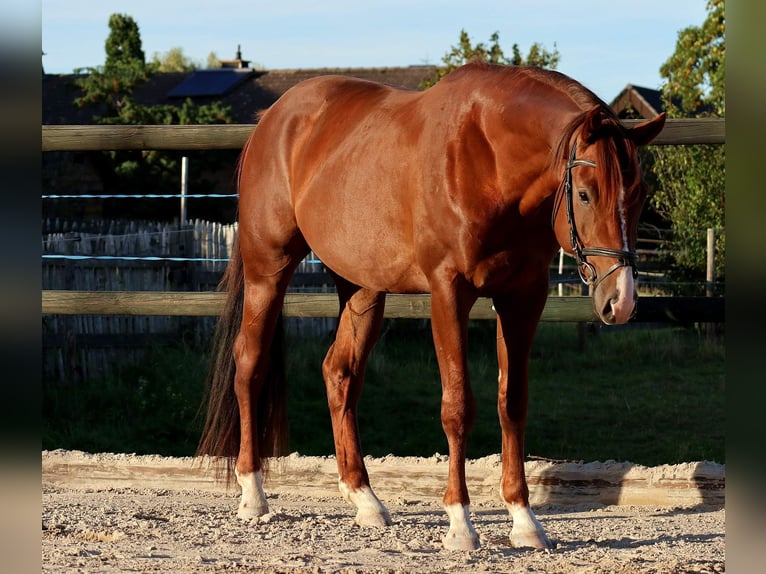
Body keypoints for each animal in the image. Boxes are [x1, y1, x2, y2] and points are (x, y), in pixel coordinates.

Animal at [198, 60, 664, 552]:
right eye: (585, 193)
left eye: (639, 196)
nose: (622, 300)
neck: (488, 158)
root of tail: (272, 120)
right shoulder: (448, 292)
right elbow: (457, 407)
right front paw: (460, 524)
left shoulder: (524, 296)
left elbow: (512, 404)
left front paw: (524, 521)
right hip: (268, 269)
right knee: (250, 365)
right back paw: (253, 495)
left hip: (362, 288)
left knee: (340, 374)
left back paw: (365, 499)